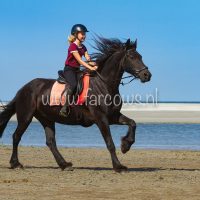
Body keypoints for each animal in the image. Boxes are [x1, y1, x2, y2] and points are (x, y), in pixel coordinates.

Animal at [0, 36, 151, 173]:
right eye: (131, 57)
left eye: (140, 56)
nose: (147, 75)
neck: (103, 84)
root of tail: (24, 88)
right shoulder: (101, 118)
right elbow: (110, 143)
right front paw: (118, 166)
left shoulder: (112, 116)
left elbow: (132, 123)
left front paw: (126, 145)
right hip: (26, 117)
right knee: (16, 136)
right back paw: (15, 163)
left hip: (47, 119)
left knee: (50, 142)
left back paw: (64, 164)